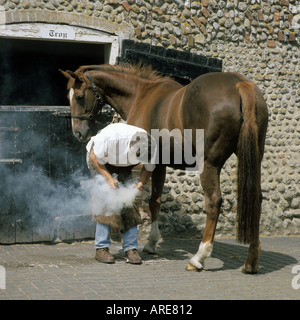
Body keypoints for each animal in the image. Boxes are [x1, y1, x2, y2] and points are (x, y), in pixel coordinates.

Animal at [59, 63, 268, 274]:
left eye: (79, 96)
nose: (78, 132)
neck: (139, 94)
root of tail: (239, 84)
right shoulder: (160, 164)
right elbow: (156, 202)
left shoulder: (147, 162)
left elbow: (143, 200)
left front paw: (147, 243)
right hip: (254, 158)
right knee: (256, 199)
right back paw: (251, 260)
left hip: (209, 164)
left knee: (213, 202)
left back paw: (199, 258)